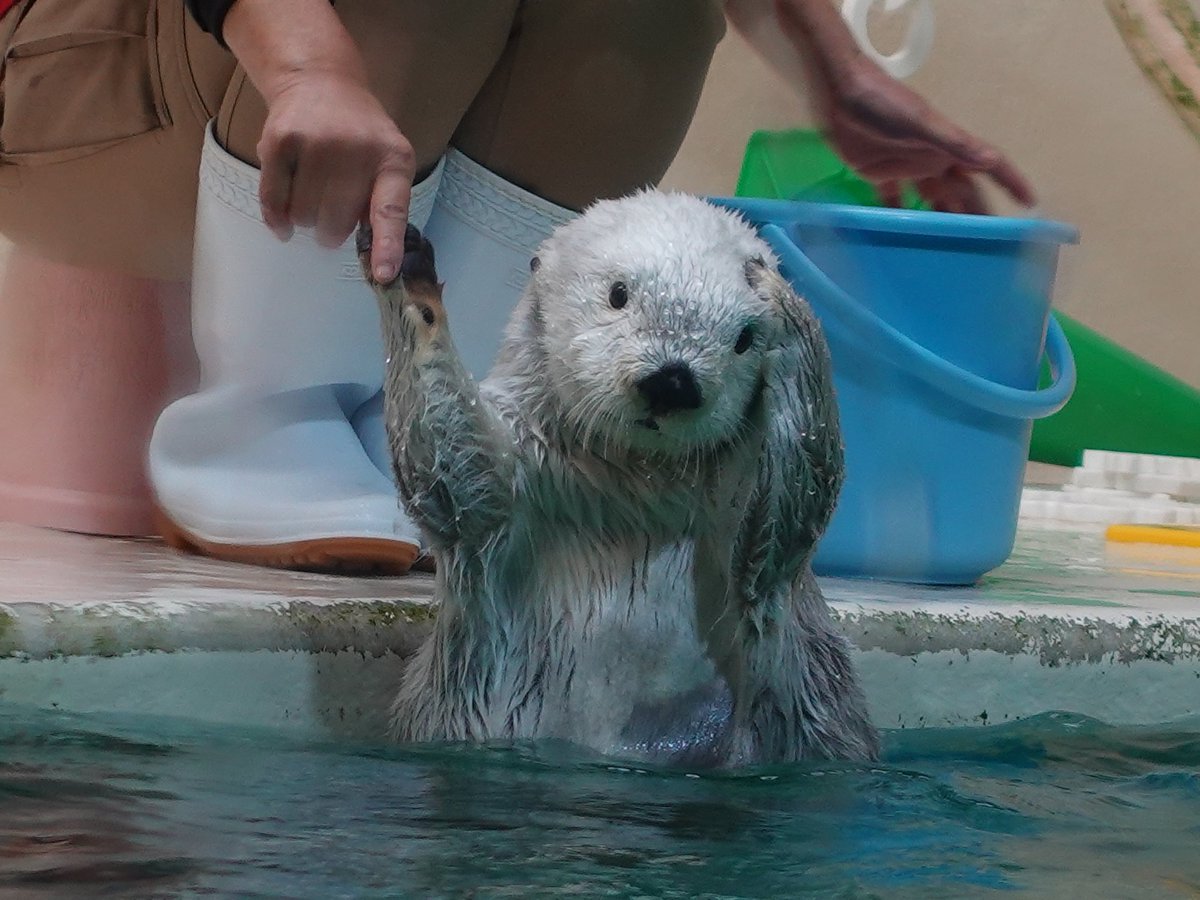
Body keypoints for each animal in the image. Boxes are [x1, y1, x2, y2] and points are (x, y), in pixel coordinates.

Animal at [360, 195, 878, 768]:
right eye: (618, 294)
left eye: (744, 339)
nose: (672, 381)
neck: (629, 490)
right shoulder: (522, 480)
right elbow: (458, 480)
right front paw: (407, 270)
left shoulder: (744, 535)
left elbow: (786, 518)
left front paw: (782, 300)